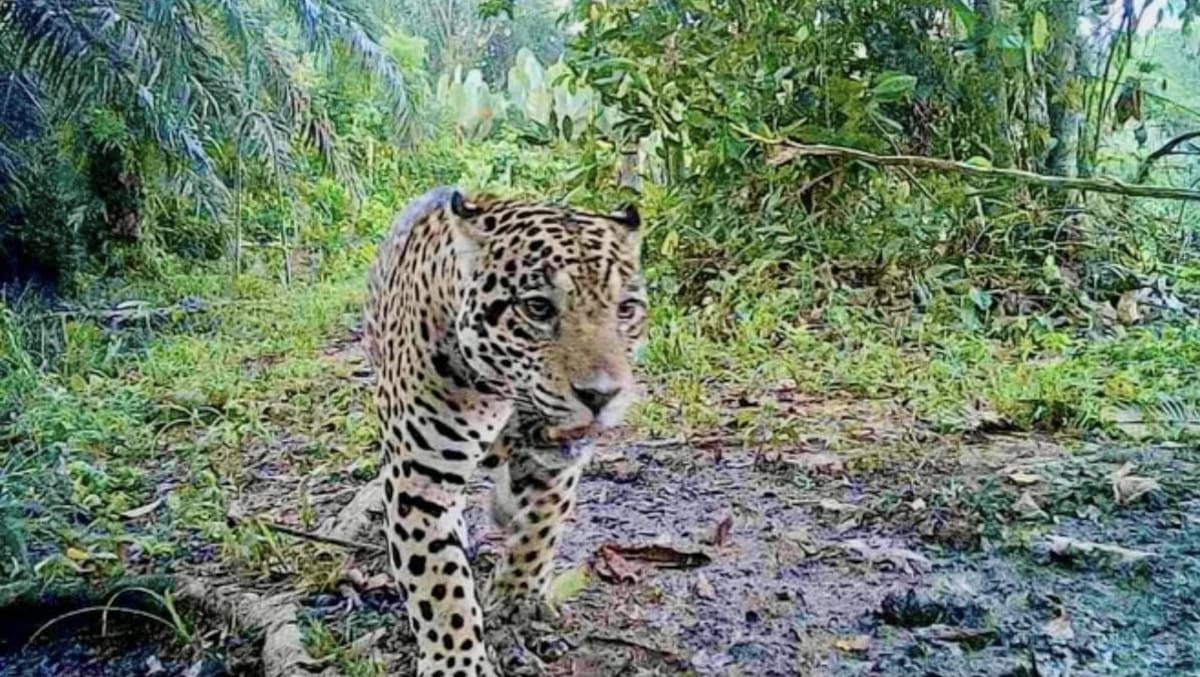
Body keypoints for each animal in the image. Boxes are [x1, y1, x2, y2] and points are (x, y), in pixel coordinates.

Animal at [362, 186, 647, 677]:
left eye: (626, 309)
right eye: (537, 308)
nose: (601, 395)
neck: (501, 395)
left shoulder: (556, 466)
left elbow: (542, 526)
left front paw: (517, 598)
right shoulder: (420, 476)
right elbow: (438, 581)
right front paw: (456, 664)